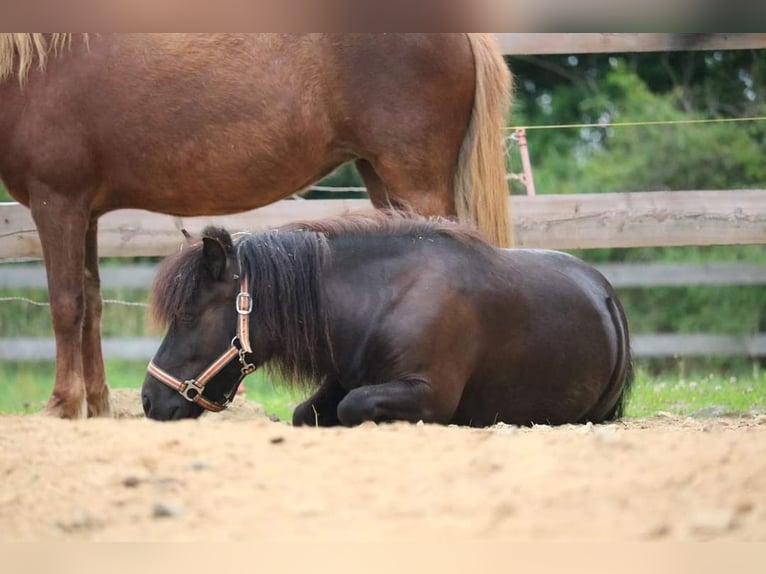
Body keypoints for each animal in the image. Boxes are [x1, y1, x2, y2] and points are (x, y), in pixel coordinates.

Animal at [1, 32, 516, 418]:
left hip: (414, 177)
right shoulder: (85, 211)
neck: (36, 66)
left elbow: (65, 305)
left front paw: (62, 405)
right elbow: (90, 302)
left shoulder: (57, 202)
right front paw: (96, 405)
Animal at [144, 214, 636, 426]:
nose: (149, 401)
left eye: (189, 315)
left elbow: (351, 408)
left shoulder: (428, 393)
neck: (384, 301)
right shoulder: (342, 381)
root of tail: (606, 293)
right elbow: (306, 413)